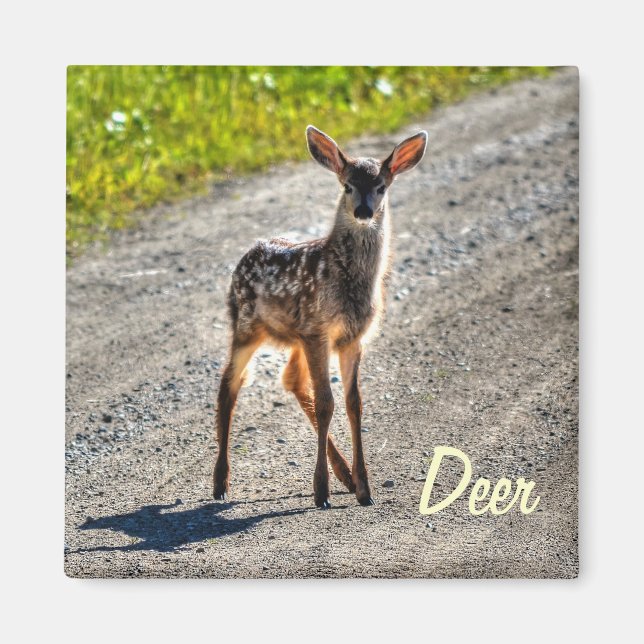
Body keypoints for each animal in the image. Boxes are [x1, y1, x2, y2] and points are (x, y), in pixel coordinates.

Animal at [213, 125, 427, 508]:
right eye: (347, 186)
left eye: (381, 187)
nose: (363, 210)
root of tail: (247, 252)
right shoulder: (319, 330)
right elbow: (328, 402)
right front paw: (321, 491)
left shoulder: (350, 338)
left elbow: (353, 404)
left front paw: (365, 489)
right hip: (246, 326)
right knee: (229, 384)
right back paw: (220, 483)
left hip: (296, 338)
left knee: (291, 381)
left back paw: (345, 476)